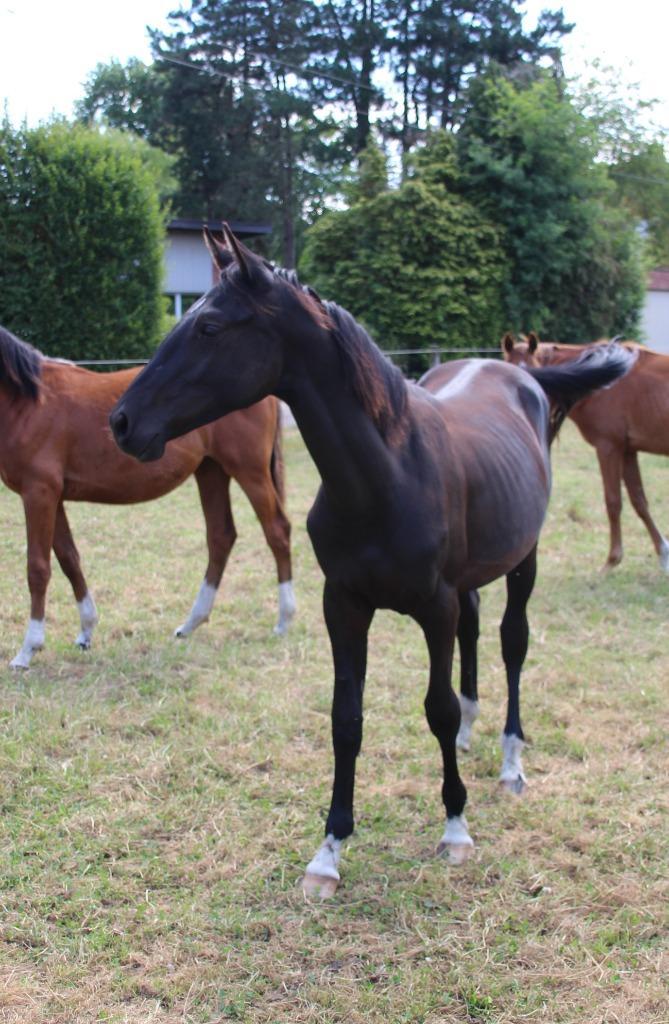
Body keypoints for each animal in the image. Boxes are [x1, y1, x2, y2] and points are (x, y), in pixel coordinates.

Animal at [0, 325, 295, 669]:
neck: (27, 403)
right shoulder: (54, 497)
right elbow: (69, 559)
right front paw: (86, 632)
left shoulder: (38, 493)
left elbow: (38, 568)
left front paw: (27, 650)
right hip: (211, 471)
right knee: (221, 537)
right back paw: (190, 624)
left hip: (250, 472)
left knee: (276, 531)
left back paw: (284, 621)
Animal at [110, 225, 632, 897]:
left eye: (210, 327)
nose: (123, 422)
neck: (387, 476)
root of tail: (522, 377)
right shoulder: (345, 605)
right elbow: (346, 719)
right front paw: (328, 851)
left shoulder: (432, 608)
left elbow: (434, 708)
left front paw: (455, 827)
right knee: (474, 629)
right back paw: (473, 731)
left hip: (525, 560)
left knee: (512, 642)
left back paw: (511, 760)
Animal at [502, 331, 666, 573]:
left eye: (535, 373)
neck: (605, 382)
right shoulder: (628, 450)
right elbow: (639, 502)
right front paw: (664, 554)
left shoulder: (609, 447)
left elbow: (613, 502)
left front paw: (612, 561)